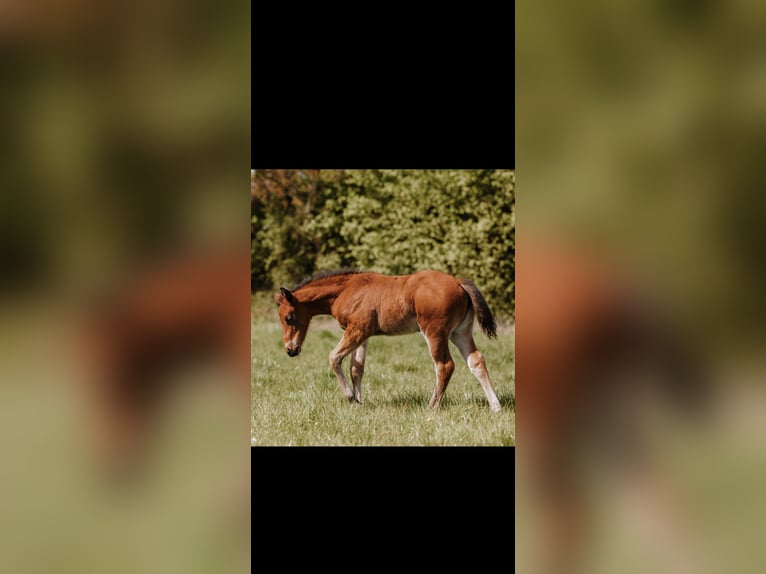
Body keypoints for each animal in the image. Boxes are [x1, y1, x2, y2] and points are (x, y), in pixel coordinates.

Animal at [273, 269, 503, 413]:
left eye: (289, 317)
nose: (290, 349)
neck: (346, 290)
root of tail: (459, 283)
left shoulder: (358, 330)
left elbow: (333, 358)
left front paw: (349, 397)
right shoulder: (362, 334)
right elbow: (356, 368)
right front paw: (359, 403)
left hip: (434, 332)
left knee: (444, 366)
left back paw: (432, 407)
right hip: (460, 332)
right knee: (476, 361)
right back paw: (496, 407)